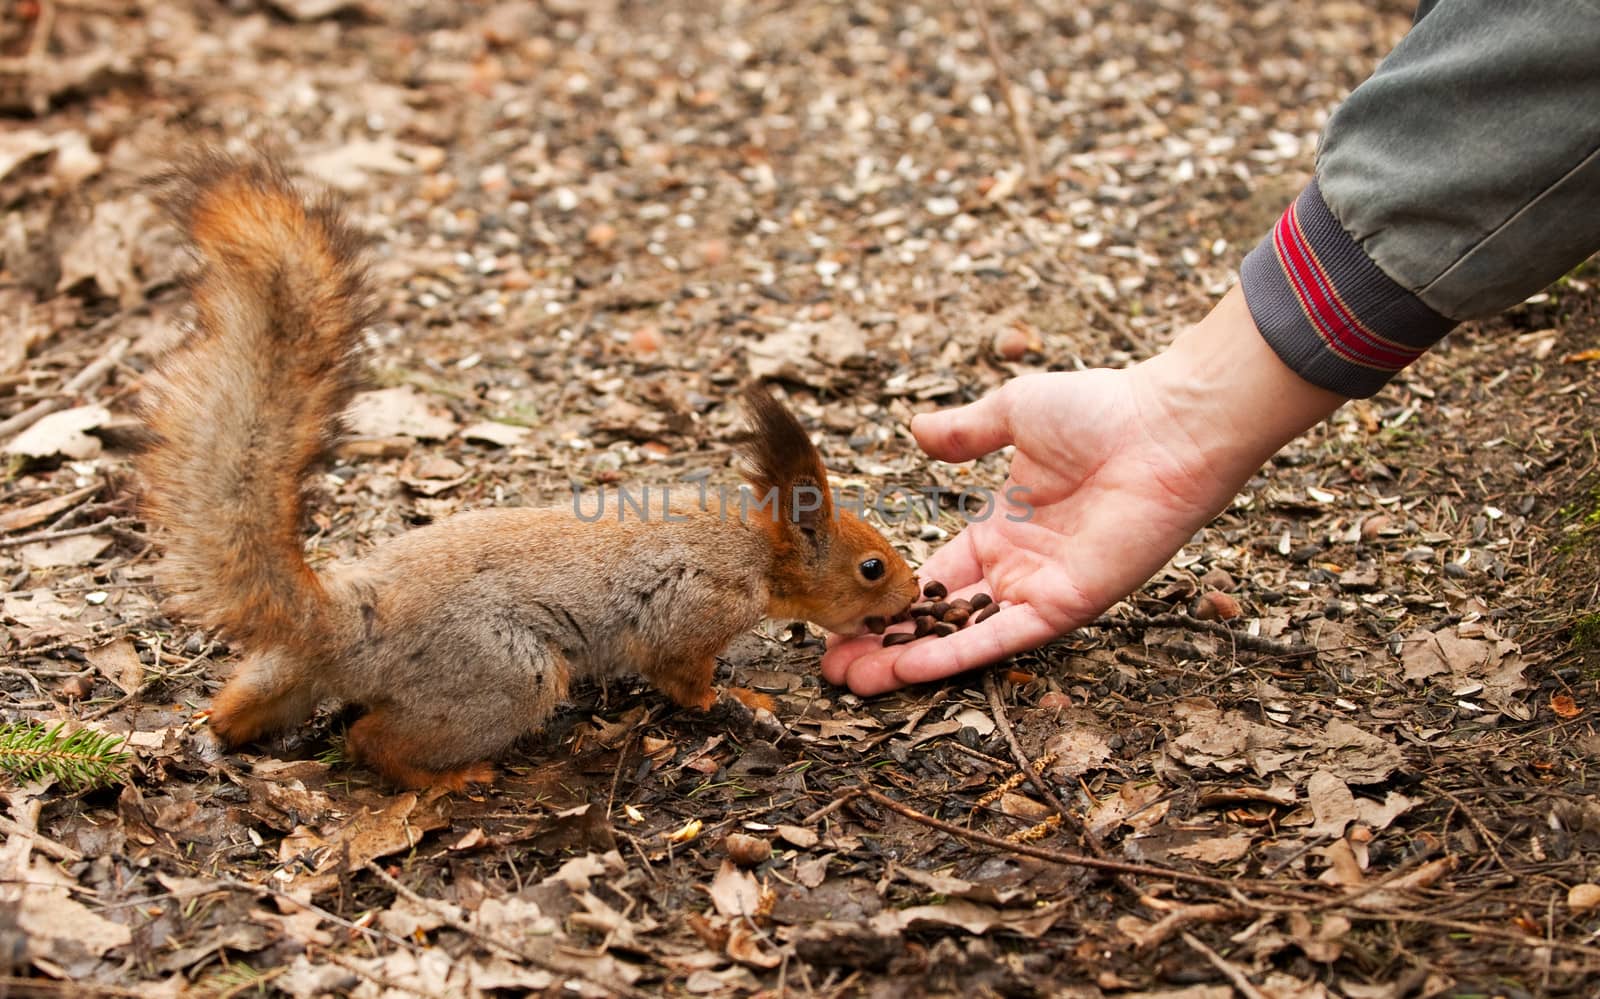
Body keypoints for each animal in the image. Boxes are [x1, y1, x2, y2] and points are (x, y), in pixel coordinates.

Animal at [142, 150, 921, 787]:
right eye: (872, 567)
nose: (917, 594)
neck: (756, 550)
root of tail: (345, 622)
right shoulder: (695, 608)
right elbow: (681, 675)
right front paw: (742, 697)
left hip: (295, 672)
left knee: (248, 700)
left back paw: (216, 729)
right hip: (507, 676)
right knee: (373, 740)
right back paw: (451, 779)